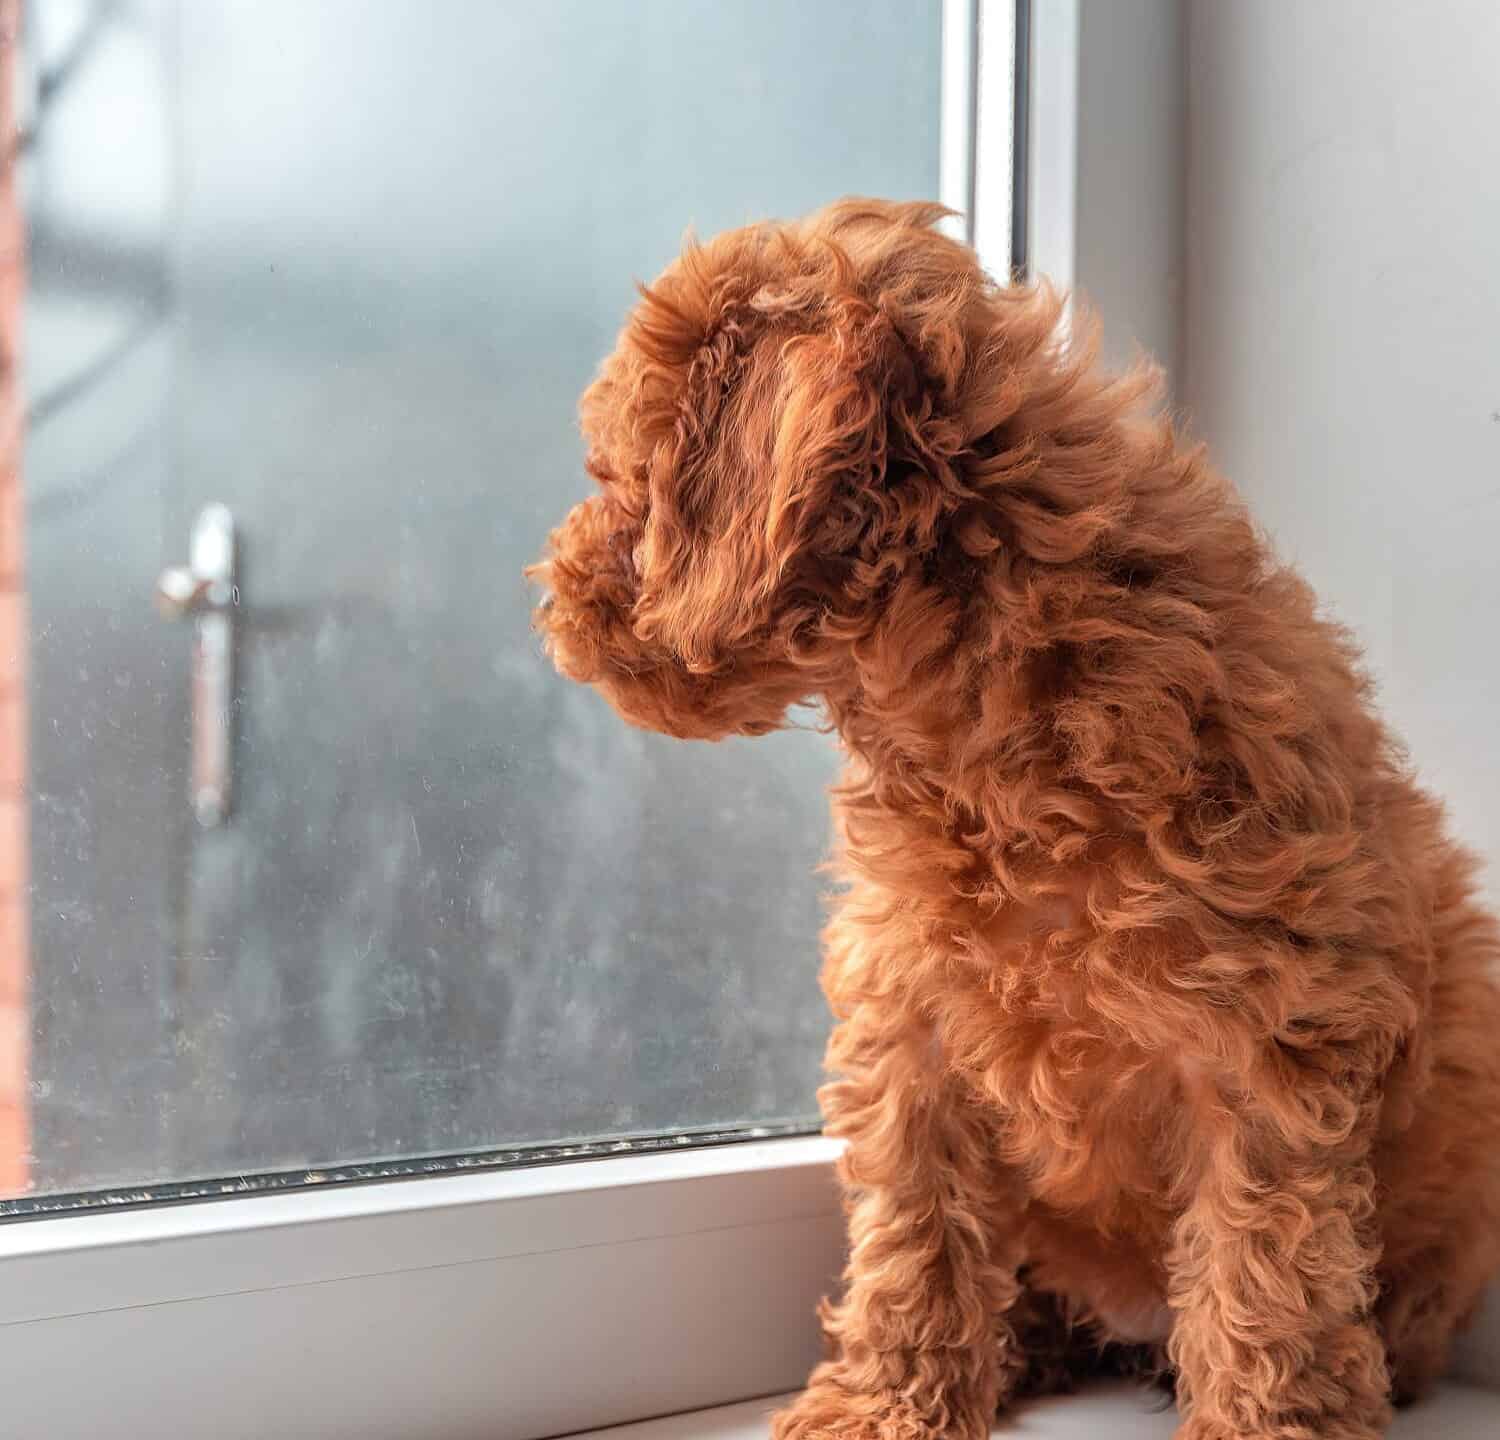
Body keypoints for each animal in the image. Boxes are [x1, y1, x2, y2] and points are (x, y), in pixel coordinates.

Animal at [528, 199, 1500, 1440]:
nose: (549, 592)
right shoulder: (911, 1019)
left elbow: (1263, 1263)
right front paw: (886, 1403)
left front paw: (1263, 1421)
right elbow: (916, 1230)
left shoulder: (1269, 1034)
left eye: (619, 476)